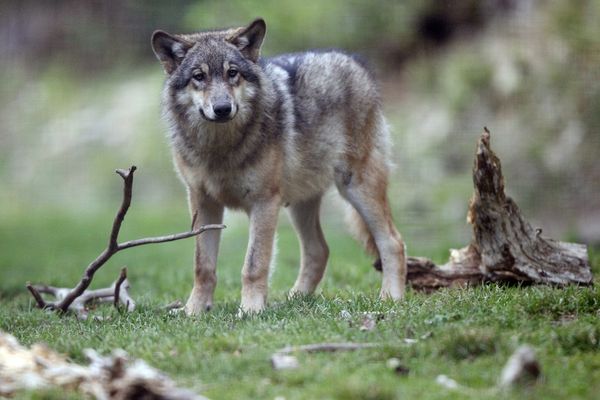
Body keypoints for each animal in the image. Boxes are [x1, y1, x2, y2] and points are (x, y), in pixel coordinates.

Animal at [151, 18, 408, 314]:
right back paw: (294, 299)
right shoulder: (203, 203)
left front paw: (250, 310)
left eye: (232, 73)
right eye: (199, 76)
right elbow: (202, 266)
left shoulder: (264, 202)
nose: (223, 108)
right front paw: (194, 311)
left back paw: (391, 298)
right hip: (300, 204)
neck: (220, 148)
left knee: (392, 242)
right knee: (319, 250)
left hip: (355, 188)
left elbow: (253, 264)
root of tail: (355, 61)